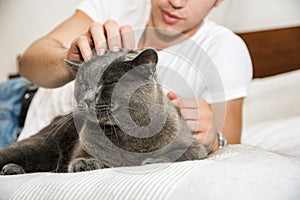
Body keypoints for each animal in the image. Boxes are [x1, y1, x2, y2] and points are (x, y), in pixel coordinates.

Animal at [0, 47, 206, 174]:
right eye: (83, 84)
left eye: (108, 82)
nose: (88, 98)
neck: (127, 133)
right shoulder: (83, 147)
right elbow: (86, 157)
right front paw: (85, 163)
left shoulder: (195, 147)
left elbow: (181, 155)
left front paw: (152, 161)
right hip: (38, 146)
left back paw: (12, 169)